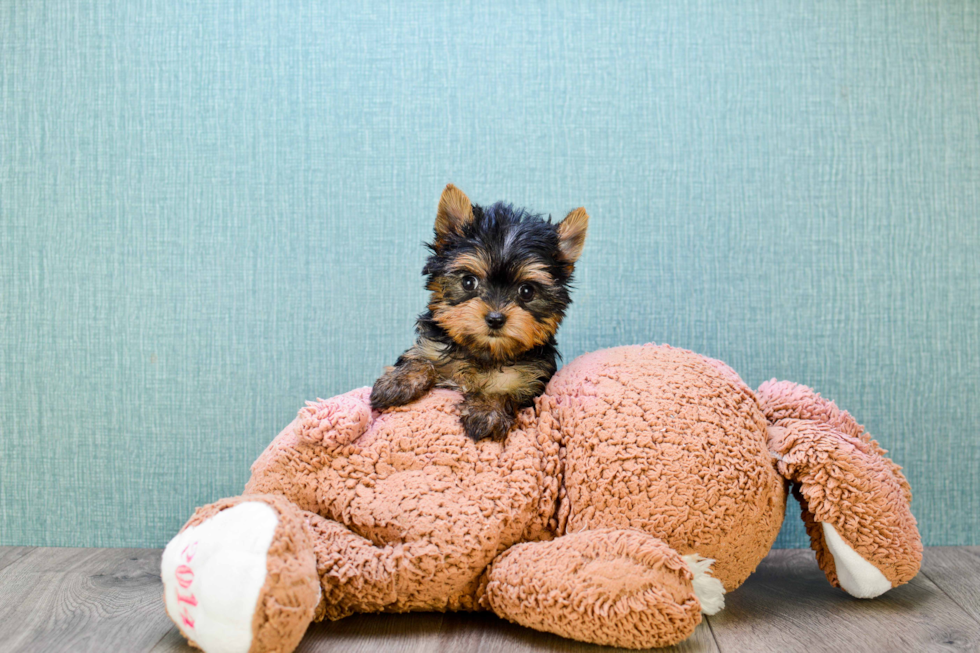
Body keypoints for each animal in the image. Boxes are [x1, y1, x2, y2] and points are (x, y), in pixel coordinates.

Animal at [370, 181, 588, 440]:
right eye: (468, 282)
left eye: (526, 291)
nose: (495, 319)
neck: (484, 353)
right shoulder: (432, 346)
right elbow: (421, 358)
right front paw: (398, 382)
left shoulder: (531, 380)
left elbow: (506, 388)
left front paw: (487, 410)